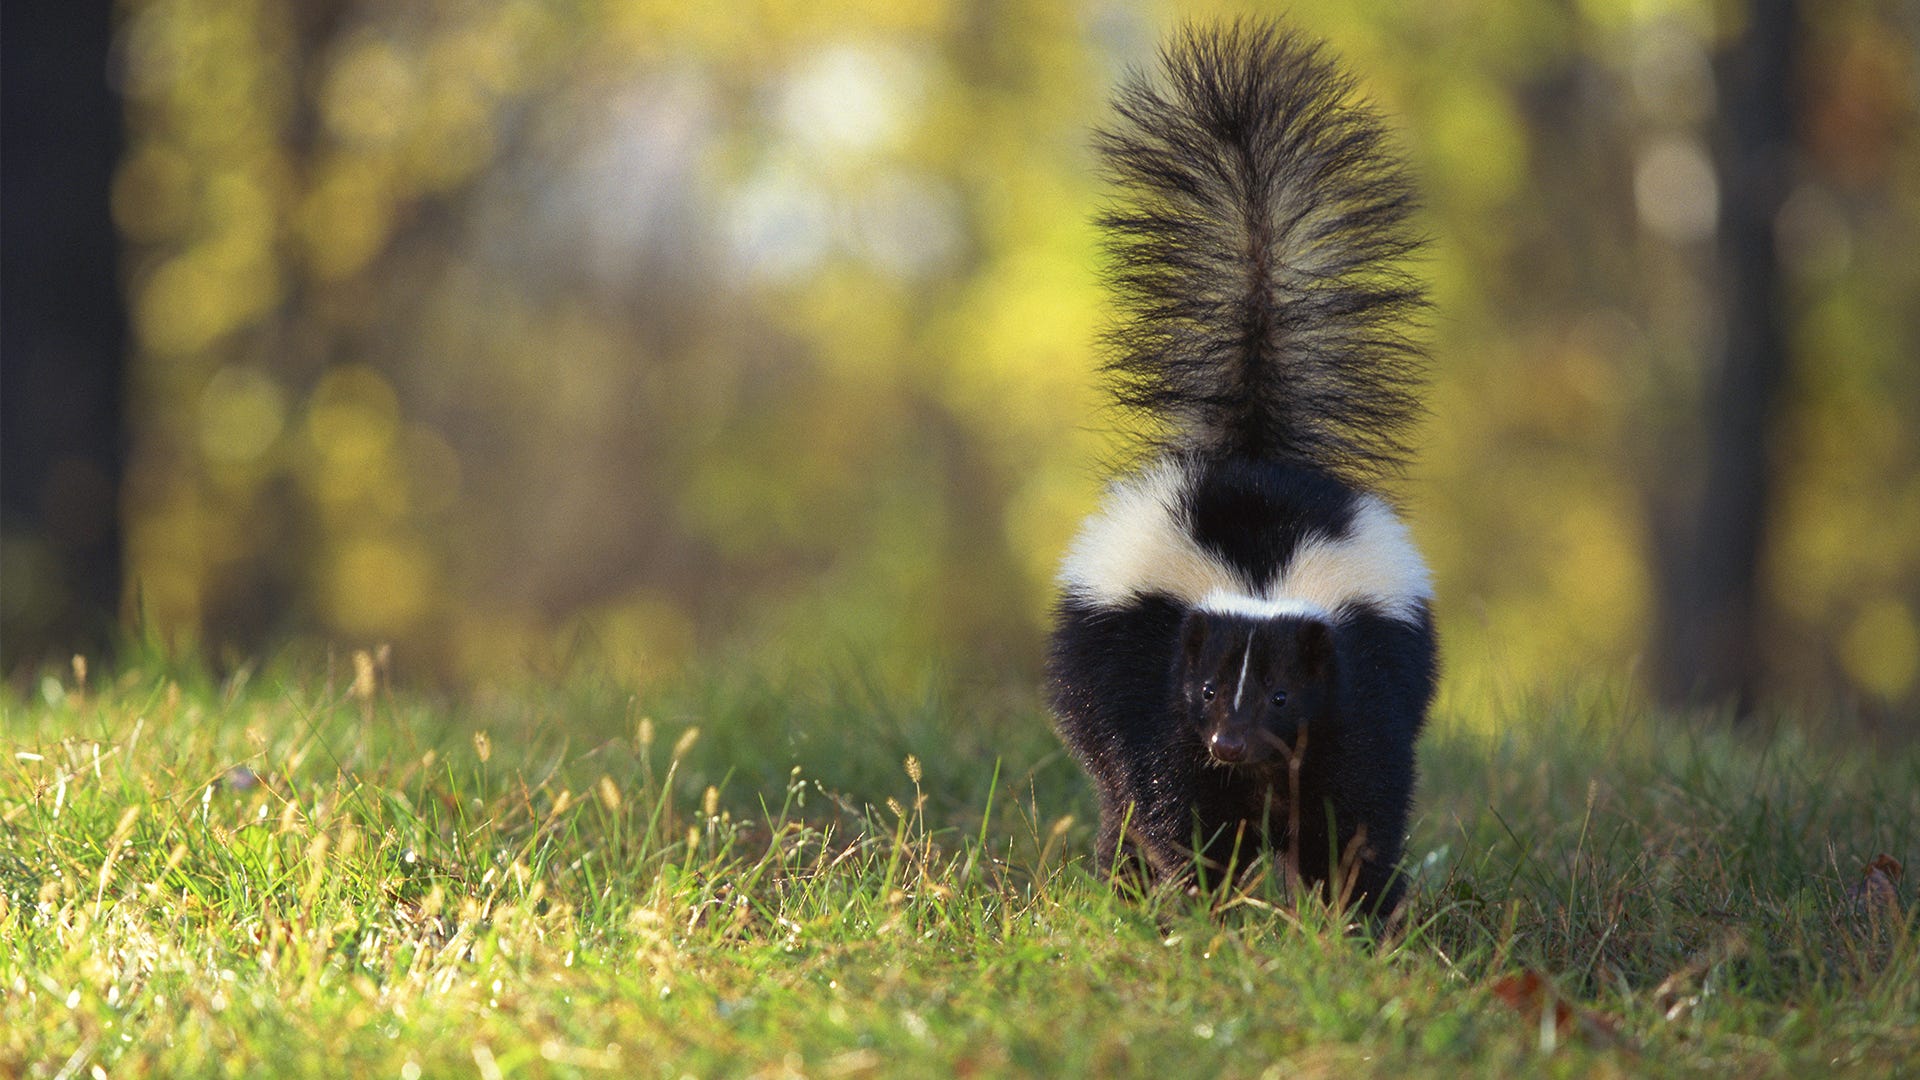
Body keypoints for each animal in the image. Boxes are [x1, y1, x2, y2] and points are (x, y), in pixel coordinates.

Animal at [1052, 21, 1443, 910]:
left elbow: (1354, 809)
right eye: (1207, 690)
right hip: (1091, 673)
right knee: (1114, 793)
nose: (1231, 742)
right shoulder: (1151, 682)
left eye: (1282, 693)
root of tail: (1252, 452)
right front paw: (1207, 899)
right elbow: (1168, 799)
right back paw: (1123, 881)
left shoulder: (1363, 687)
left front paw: (1349, 910)